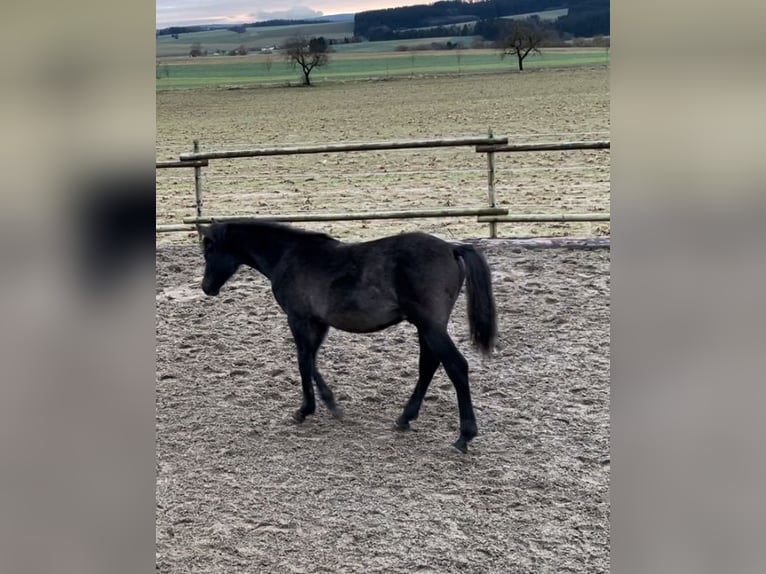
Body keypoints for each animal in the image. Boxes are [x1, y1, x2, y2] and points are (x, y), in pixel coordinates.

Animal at [198, 220, 498, 454]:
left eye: (209, 249)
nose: (206, 287)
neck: (289, 255)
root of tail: (452, 247)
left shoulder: (298, 319)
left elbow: (303, 360)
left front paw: (305, 410)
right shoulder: (318, 322)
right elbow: (311, 360)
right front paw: (330, 404)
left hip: (430, 326)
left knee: (456, 366)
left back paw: (464, 436)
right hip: (425, 327)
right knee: (428, 365)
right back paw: (404, 418)